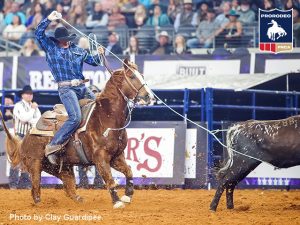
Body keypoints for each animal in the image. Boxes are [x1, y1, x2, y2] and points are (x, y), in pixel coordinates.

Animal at [0, 58, 155, 209]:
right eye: (132, 76)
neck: (105, 118)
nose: (149, 97)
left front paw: (127, 196)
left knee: (69, 188)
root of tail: (26, 137)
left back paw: (80, 200)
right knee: (36, 190)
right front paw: (117, 201)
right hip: (35, 164)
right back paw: (41, 204)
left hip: (62, 167)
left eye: (141, 75)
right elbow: (110, 180)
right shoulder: (101, 158)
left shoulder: (116, 156)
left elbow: (128, 171)